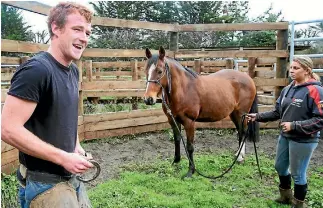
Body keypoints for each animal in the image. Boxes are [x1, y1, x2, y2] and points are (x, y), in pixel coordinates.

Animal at [144, 46, 260, 178]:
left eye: (159, 71)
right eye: (146, 70)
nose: (148, 99)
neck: (184, 89)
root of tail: (248, 78)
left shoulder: (189, 122)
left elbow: (190, 146)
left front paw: (190, 171)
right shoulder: (172, 120)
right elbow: (177, 139)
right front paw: (176, 161)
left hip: (241, 114)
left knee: (244, 131)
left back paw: (240, 158)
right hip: (234, 114)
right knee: (240, 132)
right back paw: (238, 156)